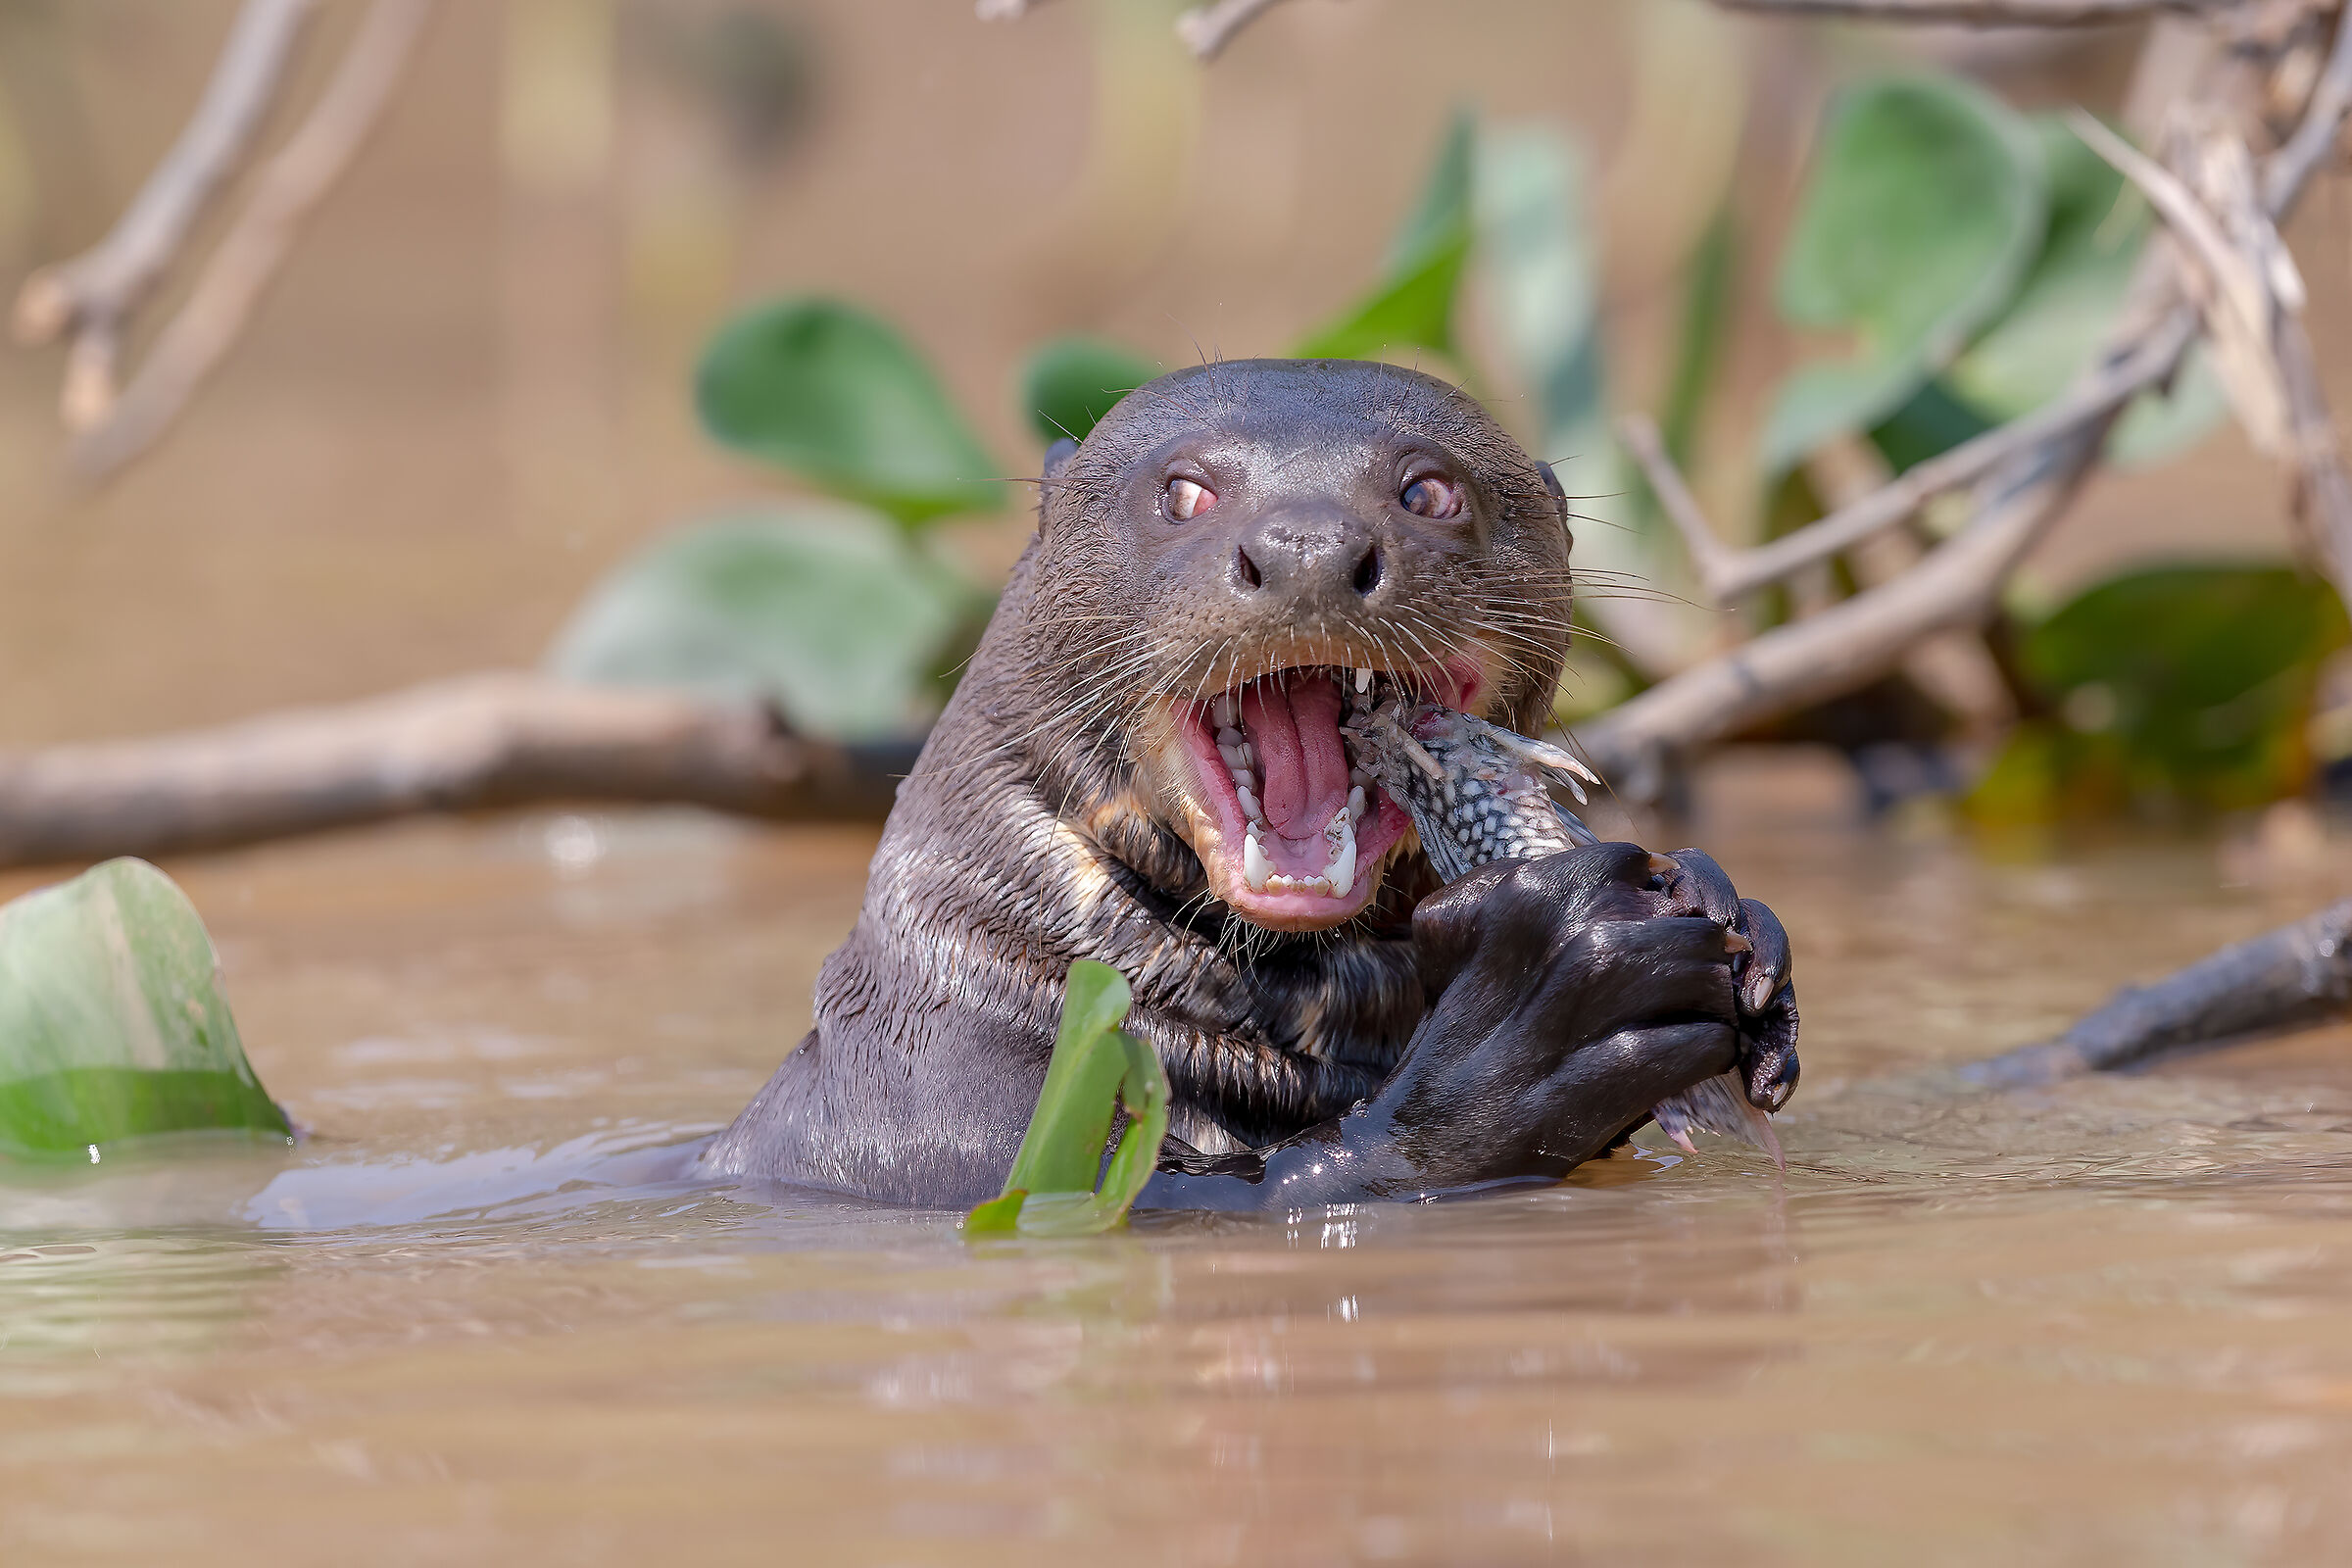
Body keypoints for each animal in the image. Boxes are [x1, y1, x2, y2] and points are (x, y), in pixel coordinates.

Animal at [699, 360, 1797, 1208]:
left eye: (1428, 491)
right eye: (1184, 491)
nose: (1307, 547)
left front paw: (1724, 909)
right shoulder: (952, 1136)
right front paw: (1541, 1014)